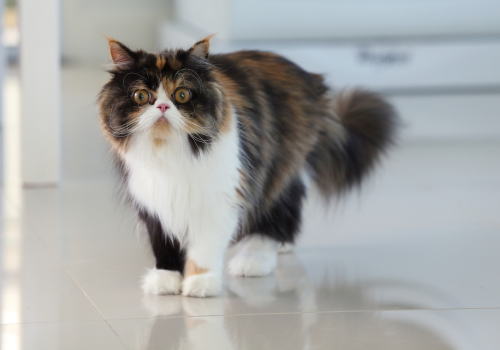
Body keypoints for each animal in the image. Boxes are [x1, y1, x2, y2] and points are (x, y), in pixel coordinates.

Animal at [96, 36, 398, 298]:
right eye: (141, 96)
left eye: (181, 95)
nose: (161, 107)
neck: (170, 154)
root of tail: (309, 76)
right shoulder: (153, 198)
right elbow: (163, 241)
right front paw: (166, 278)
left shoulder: (222, 198)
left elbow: (205, 246)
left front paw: (200, 282)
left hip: (278, 169)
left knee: (278, 213)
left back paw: (255, 259)